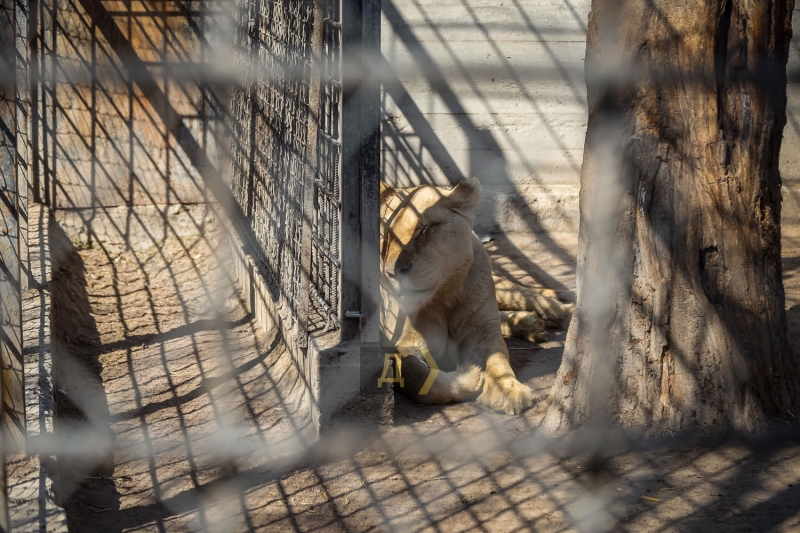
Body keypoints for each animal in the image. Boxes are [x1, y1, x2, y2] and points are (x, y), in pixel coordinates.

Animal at [380, 177, 572, 414]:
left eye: (425, 229)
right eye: (385, 234)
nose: (391, 272)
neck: (443, 294)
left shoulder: (483, 336)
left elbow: (498, 362)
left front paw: (509, 391)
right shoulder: (403, 343)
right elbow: (419, 377)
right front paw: (471, 375)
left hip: (506, 290)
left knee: (544, 304)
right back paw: (529, 324)